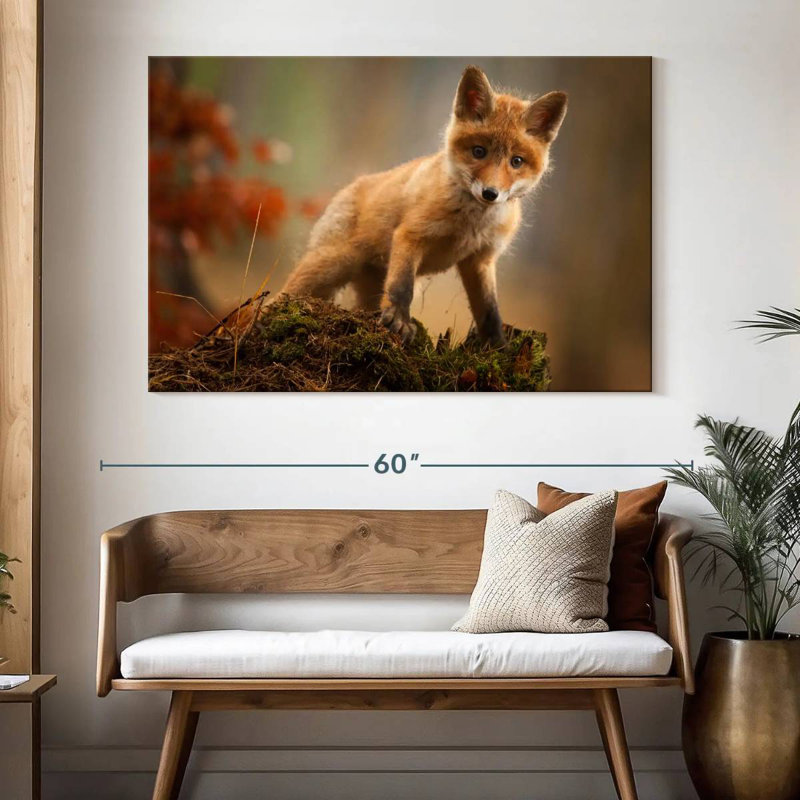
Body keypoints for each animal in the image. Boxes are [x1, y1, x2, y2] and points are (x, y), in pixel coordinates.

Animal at [280, 65, 568, 346]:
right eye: (479, 152)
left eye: (516, 161)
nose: (490, 193)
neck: (471, 224)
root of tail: (350, 186)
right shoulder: (411, 235)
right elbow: (401, 287)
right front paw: (399, 321)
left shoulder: (480, 259)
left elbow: (489, 311)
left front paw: (497, 347)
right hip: (330, 266)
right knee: (280, 297)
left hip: (367, 286)